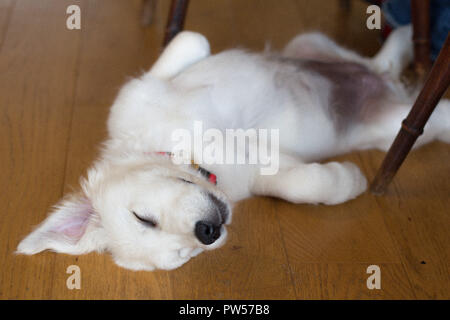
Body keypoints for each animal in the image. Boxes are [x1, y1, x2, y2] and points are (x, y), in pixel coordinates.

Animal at [17, 26, 450, 270]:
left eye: (144, 218)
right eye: (184, 256)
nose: (208, 232)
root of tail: (387, 84)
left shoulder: (143, 89)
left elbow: (189, 39)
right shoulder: (262, 171)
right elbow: (305, 185)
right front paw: (351, 179)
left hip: (308, 43)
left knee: (372, 59)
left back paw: (406, 39)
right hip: (402, 126)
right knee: (421, 106)